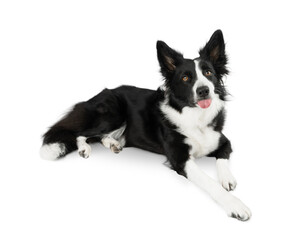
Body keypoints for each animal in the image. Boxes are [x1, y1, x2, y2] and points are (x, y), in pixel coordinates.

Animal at [40, 30, 251, 221]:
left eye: (208, 73)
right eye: (185, 78)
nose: (203, 90)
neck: (195, 117)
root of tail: (96, 96)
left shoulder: (223, 140)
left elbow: (222, 157)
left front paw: (227, 179)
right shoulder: (180, 159)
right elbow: (208, 181)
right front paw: (236, 205)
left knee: (101, 136)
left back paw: (113, 144)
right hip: (114, 114)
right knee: (81, 132)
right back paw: (84, 148)